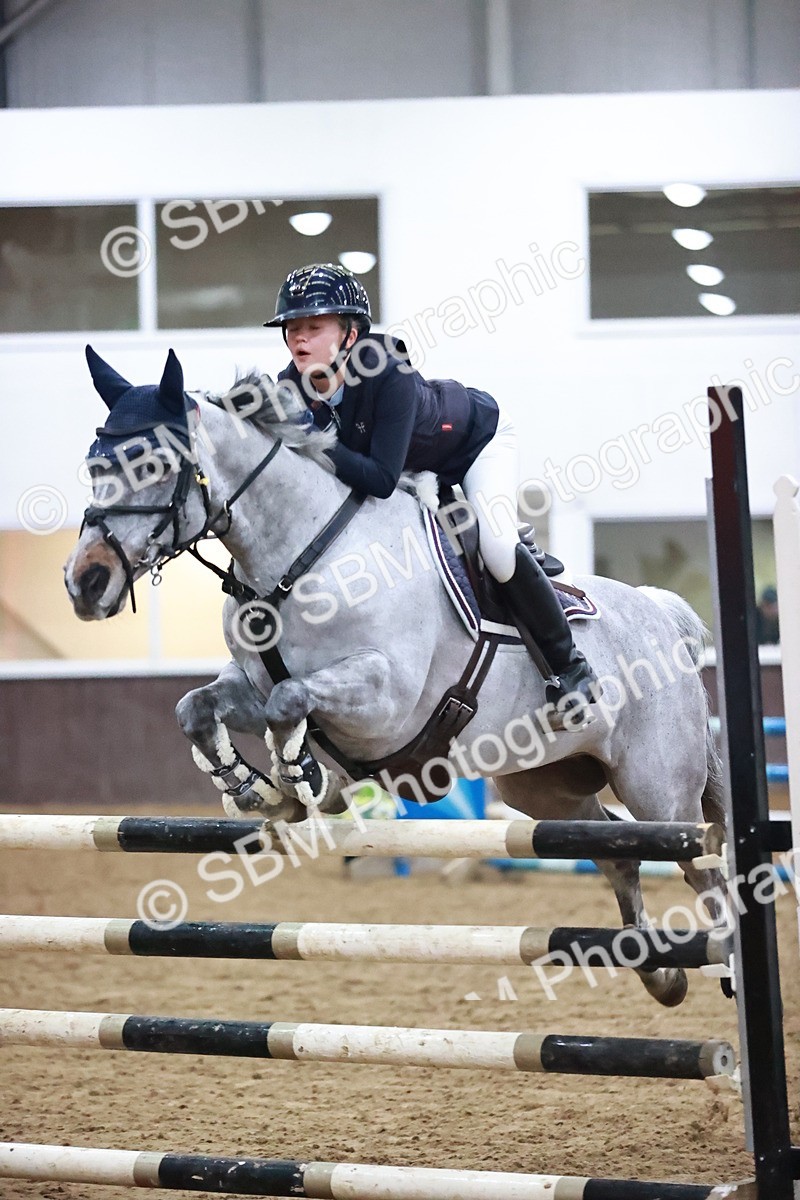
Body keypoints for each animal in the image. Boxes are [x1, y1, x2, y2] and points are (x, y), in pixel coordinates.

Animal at [64, 347, 728, 1008]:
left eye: (154, 465)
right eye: (94, 464)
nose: (85, 582)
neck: (300, 557)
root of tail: (661, 613)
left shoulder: (385, 699)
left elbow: (290, 702)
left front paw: (300, 777)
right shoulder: (249, 684)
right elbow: (197, 708)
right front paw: (256, 789)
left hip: (658, 788)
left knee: (701, 865)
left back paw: (722, 964)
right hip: (544, 786)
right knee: (615, 850)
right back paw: (659, 973)